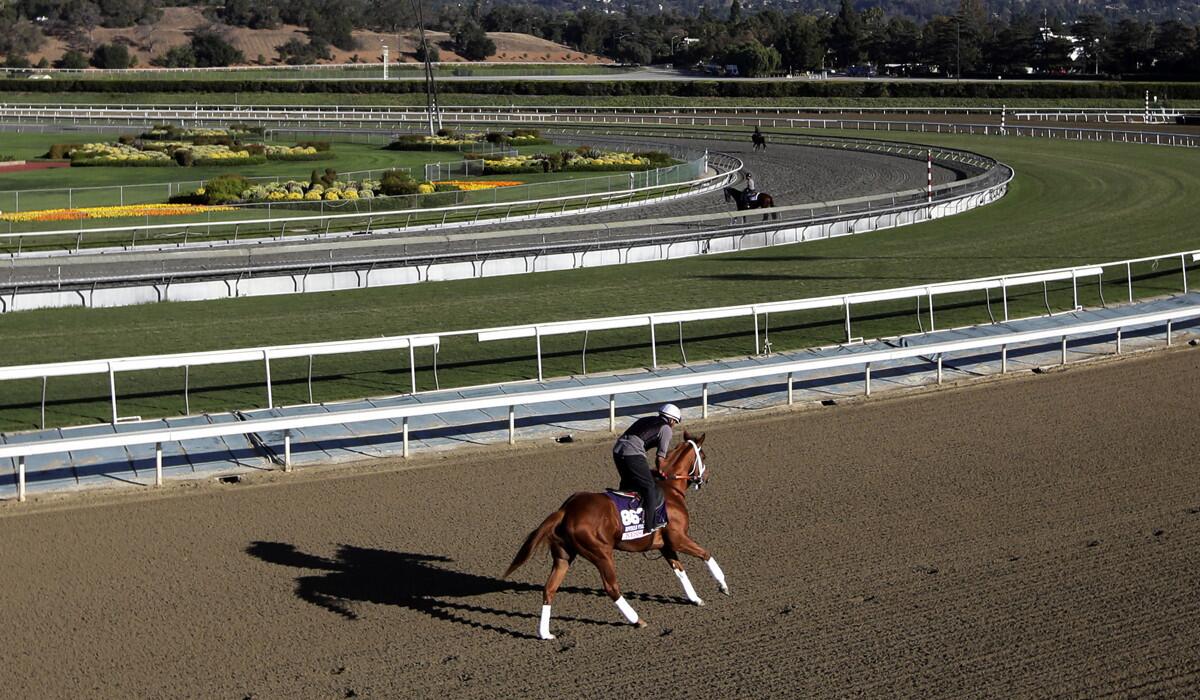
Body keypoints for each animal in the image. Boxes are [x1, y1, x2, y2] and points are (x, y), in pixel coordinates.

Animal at [501, 432, 724, 638]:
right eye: (703, 455)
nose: (706, 478)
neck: (670, 490)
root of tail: (566, 510)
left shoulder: (666, 545)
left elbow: (680, 571)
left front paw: (695, 598)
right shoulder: (678, 539)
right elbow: (706, 554)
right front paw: (723, 585)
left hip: (564, 556)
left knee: (549, 589)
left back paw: (545, 633)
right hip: (601, 553)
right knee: (611, 587)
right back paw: (637, 620)